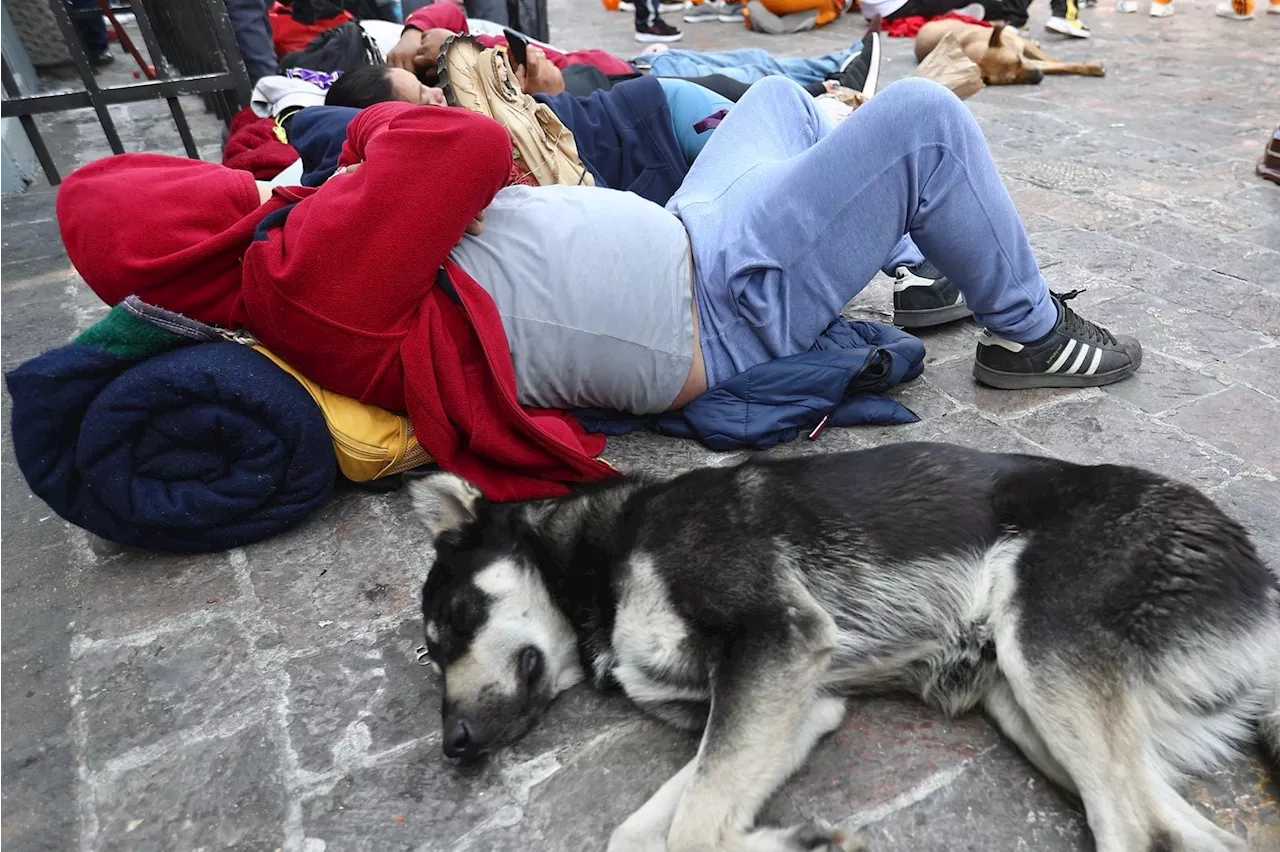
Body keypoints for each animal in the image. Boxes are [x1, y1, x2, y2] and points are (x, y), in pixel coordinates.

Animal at [409, 440, 1280, 844]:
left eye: (450, 621)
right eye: (432, 648)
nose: (452, 747)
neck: (606, 552)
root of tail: (1263, 583)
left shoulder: (777, 646)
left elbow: (693, 826)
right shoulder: (798, 702)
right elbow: (643, 830)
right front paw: (789, 839)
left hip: (1043, 650)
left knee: (1134, 828)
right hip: (1028, 706)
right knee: (1181, 831)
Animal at [916, 19, 1105, 85]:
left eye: (1018, 61)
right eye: (1012, 79)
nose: (1038, 77)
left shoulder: (1023, 50)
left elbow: (1055, 62)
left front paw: (1090, 66)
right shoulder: (1031, 64)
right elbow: (1055, 65)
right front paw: (1092, 67)